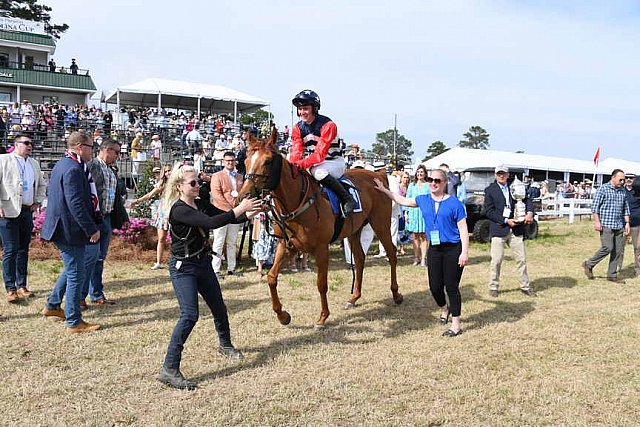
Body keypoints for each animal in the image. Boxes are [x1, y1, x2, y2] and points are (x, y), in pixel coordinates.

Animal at [238, 132, 402, 330]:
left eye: (268, 161)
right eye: (246, 160)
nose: (244, 196)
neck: (298, 201)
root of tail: (379, 175)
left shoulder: (322, 248)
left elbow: (321, 284)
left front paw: (322, 318)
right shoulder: (286, 245)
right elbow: (271, 277)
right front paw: (283, 315)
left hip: (381, 224)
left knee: (391, 253)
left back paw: (396, 294)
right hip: (354, 230)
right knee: (360, 258)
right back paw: (353, 298)